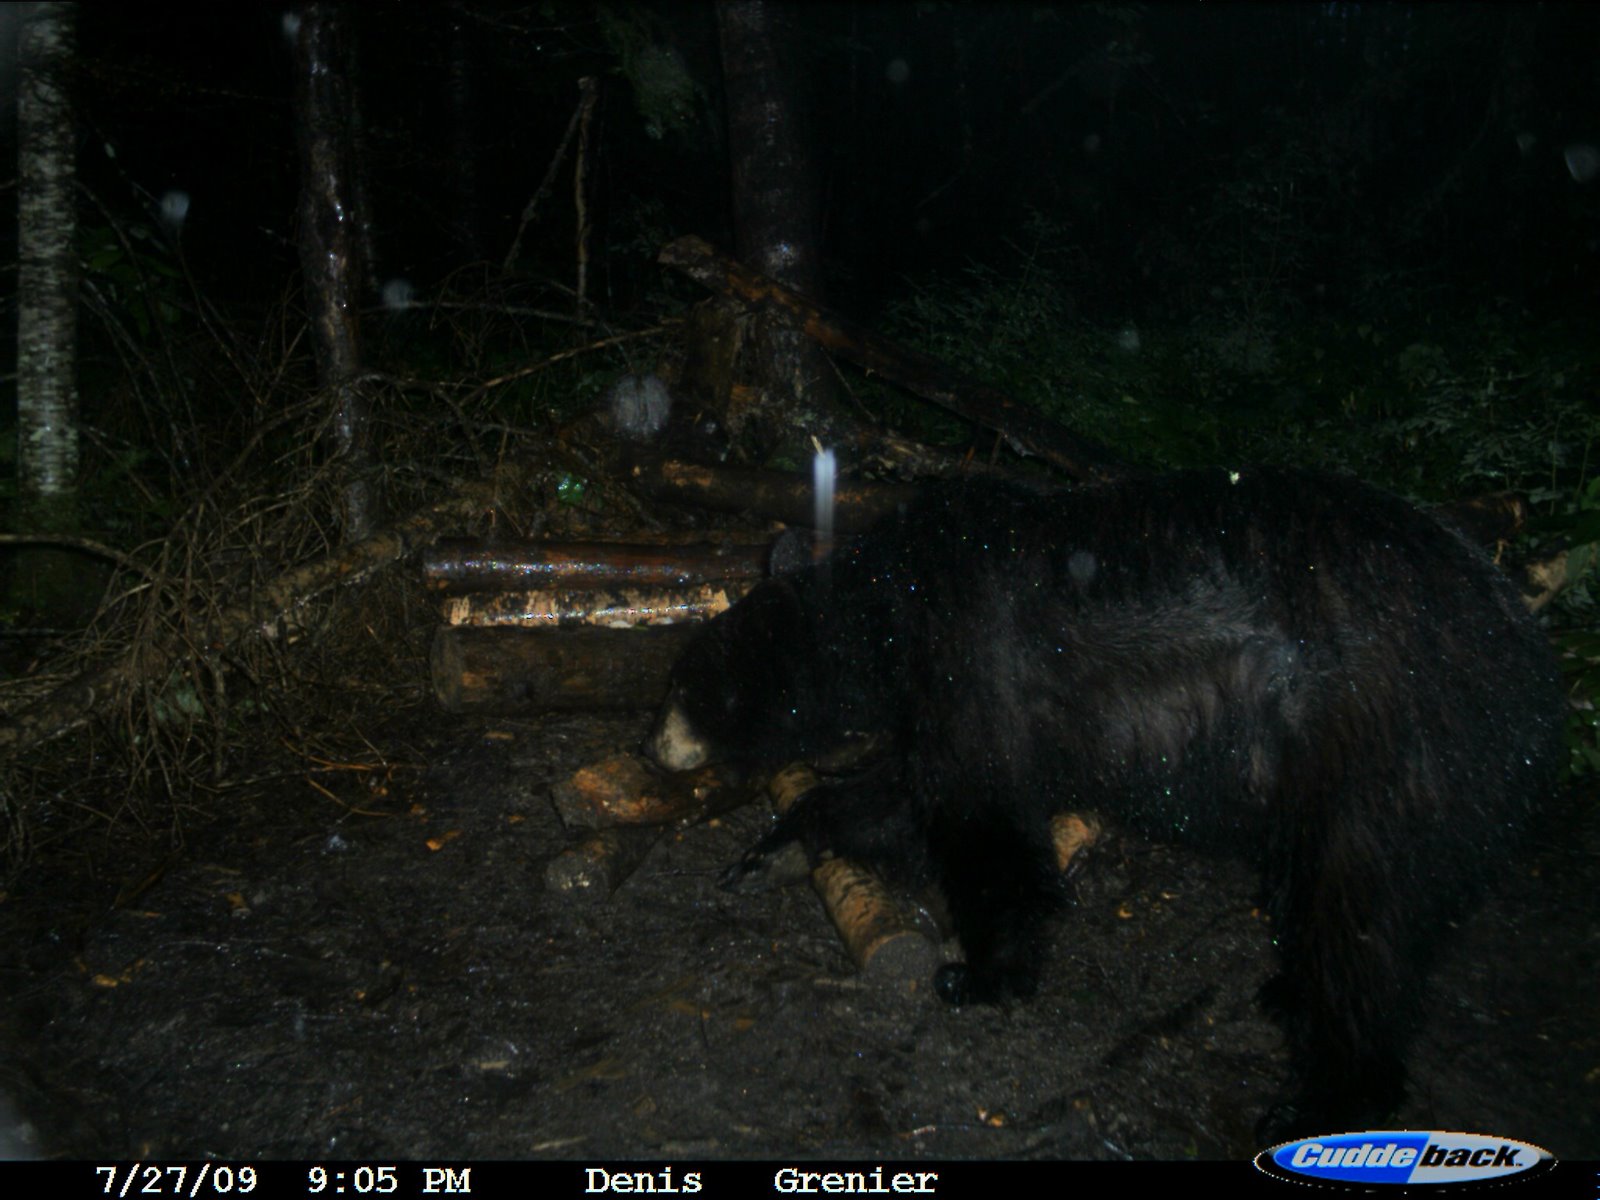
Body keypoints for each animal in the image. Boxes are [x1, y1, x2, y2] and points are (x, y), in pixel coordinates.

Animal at [645, 468, 1565, 1141]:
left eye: (683, 686)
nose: (652, 747)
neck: (891, 607)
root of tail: (1531, 671)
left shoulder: (976, 653)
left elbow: (981, 821)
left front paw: (982, 973)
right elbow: (903, 795)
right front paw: (772, 843)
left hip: (1383, 742)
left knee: (1358, 914)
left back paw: (1326, 1093)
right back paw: (1288, 993)